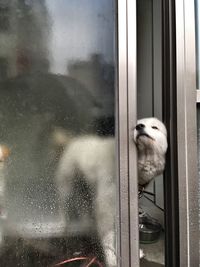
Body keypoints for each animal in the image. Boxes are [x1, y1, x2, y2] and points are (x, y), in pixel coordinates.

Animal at [55, 118, 167, 266]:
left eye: (155, 127)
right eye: (137, 125)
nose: (139, 126)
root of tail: (73, 141)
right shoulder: (106, 207)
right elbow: (108, 237)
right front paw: (112, 259)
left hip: (85, 189)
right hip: (67, 185)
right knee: (62, 205)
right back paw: (63, 223)